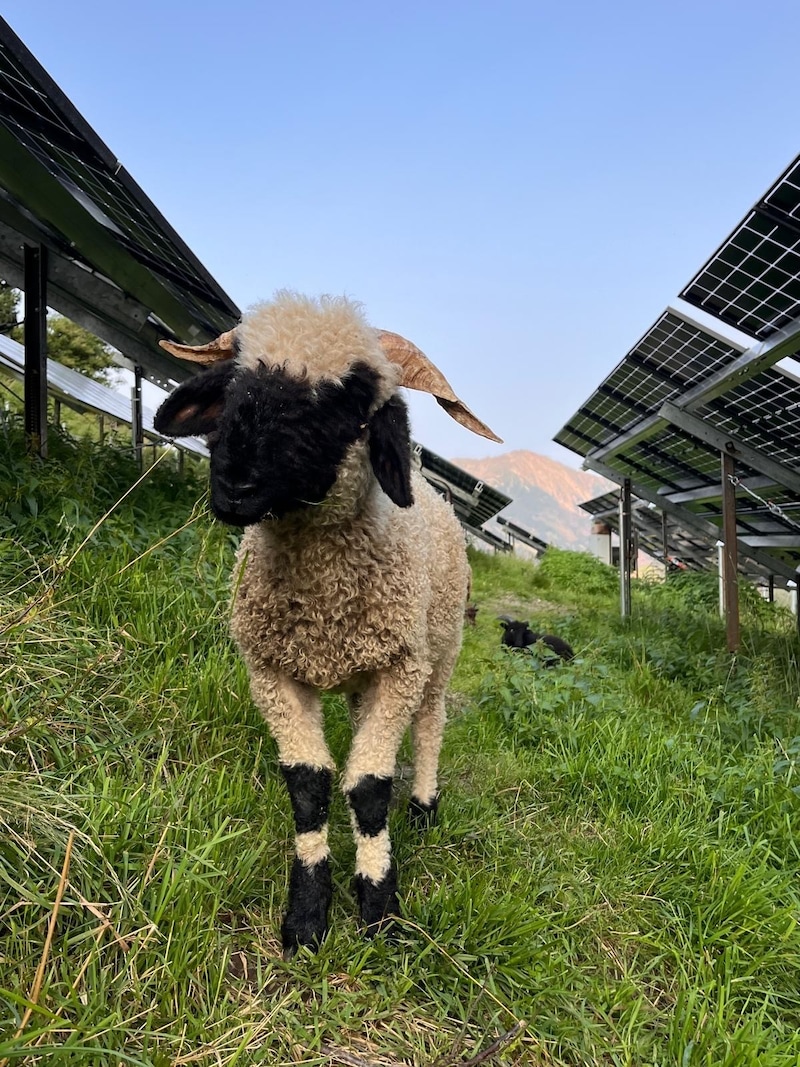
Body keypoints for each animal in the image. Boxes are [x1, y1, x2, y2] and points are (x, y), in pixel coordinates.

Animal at [151, 294, 501, 960]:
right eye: (239, 374)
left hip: (439, 652)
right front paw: (308, 915)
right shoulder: (271, 673)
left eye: (350, 398)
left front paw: (380, 909)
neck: (323, 600)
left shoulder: (399, 670)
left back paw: (423, 805)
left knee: (430, 724)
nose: (234, 484)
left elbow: (368, 788)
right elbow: (308, 786)